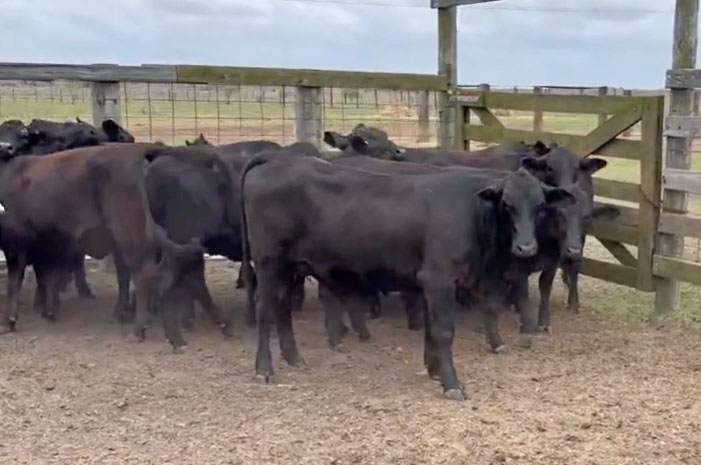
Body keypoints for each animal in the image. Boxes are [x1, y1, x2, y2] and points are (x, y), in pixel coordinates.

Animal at [240, 152, 574, 400]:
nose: (525, 247)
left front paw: (434, 370)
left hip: (291, 267)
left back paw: (294, 358)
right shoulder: (439, 279)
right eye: (507, 205)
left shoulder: (428, 283)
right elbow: (443, 331)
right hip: (269, 263)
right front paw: (452, 383)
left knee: (282, 308)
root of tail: (277, 160)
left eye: (540, 205)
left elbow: (429, 329)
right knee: (265, 310)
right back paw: (264, 369)